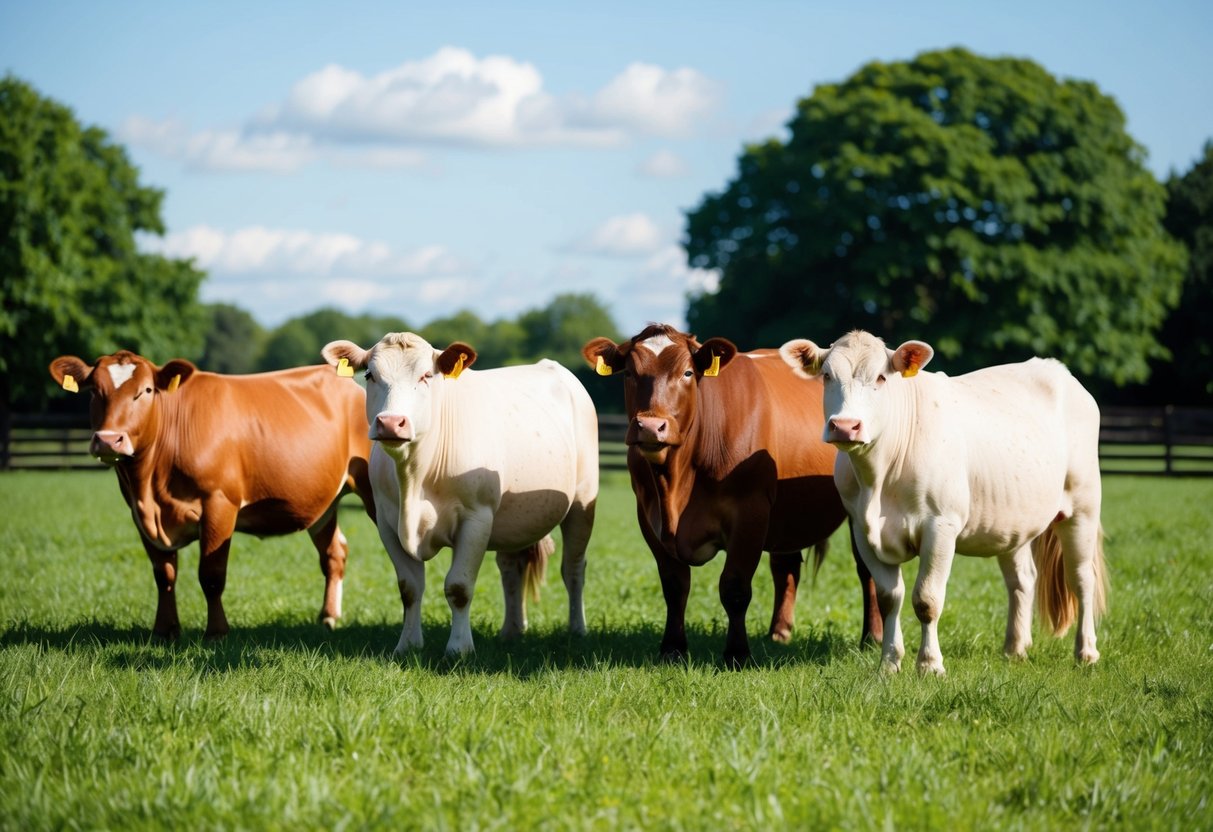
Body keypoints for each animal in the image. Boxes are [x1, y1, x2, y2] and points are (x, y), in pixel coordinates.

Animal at [48, 349, 373, 640]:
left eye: (146, 390)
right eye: (94, 391)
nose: (108, 440)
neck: (150, 486)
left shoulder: (219, 504)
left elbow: (211, 575)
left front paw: (217, 632)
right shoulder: (139, 513)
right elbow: (164, 574)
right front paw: (164, 631)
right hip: (323, 505)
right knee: (334, 553)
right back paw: (328, 617)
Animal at [322, 332, 596, 659]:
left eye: (426, 376)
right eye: (370, 375)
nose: (391, 423)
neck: (415, 476)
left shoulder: (477, 518)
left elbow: (459, 587)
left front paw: (458, 649)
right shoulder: (386, 522)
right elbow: (409, 587)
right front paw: (407, 645)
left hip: (582, 502)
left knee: (573, 568)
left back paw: (577, 629)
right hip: (514, 516)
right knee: (511, 568)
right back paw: (512, 631)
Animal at [582, 327, 878, 669]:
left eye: (687, 372)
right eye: (629, 372)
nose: (651, 427)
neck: (676, 483)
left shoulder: (750, 512)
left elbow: (734, 586)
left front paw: (737, 653)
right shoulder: (648, 515)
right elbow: (674, 585)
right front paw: (672, 648)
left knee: (867, 569)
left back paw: (872, 638)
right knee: (786, 567)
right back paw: (778, 633)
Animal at [776, 332, 1111, 679]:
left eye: (881, 377)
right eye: (827, 376)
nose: (845, 425)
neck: (878, 481)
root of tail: (1056, 369)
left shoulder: (941, 525)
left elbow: (927, 599)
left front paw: (929, 664)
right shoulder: (861, 529)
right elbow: (889, 598)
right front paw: (889, 663)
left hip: (1083, 506)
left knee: (1082, 578)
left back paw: (1086, 651)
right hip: (1013, 521)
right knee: (1022, 579)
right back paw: (1015, 649)